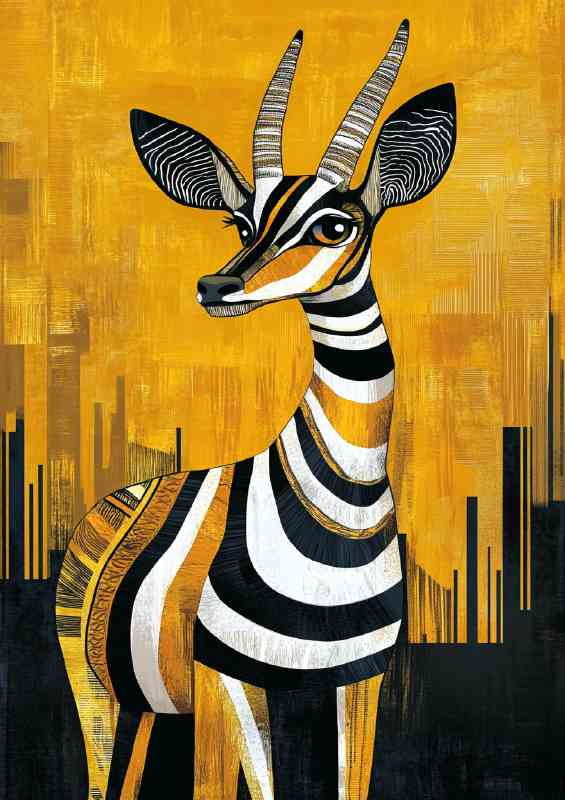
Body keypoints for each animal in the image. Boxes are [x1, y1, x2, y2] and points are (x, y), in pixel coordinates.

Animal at [56, 19, 456, 800]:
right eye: (240, 224)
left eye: (336, 228)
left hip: (147, 702)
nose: (215, 288)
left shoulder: (359, 680)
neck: (341, 505)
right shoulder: (220, 674)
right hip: (97, 690)